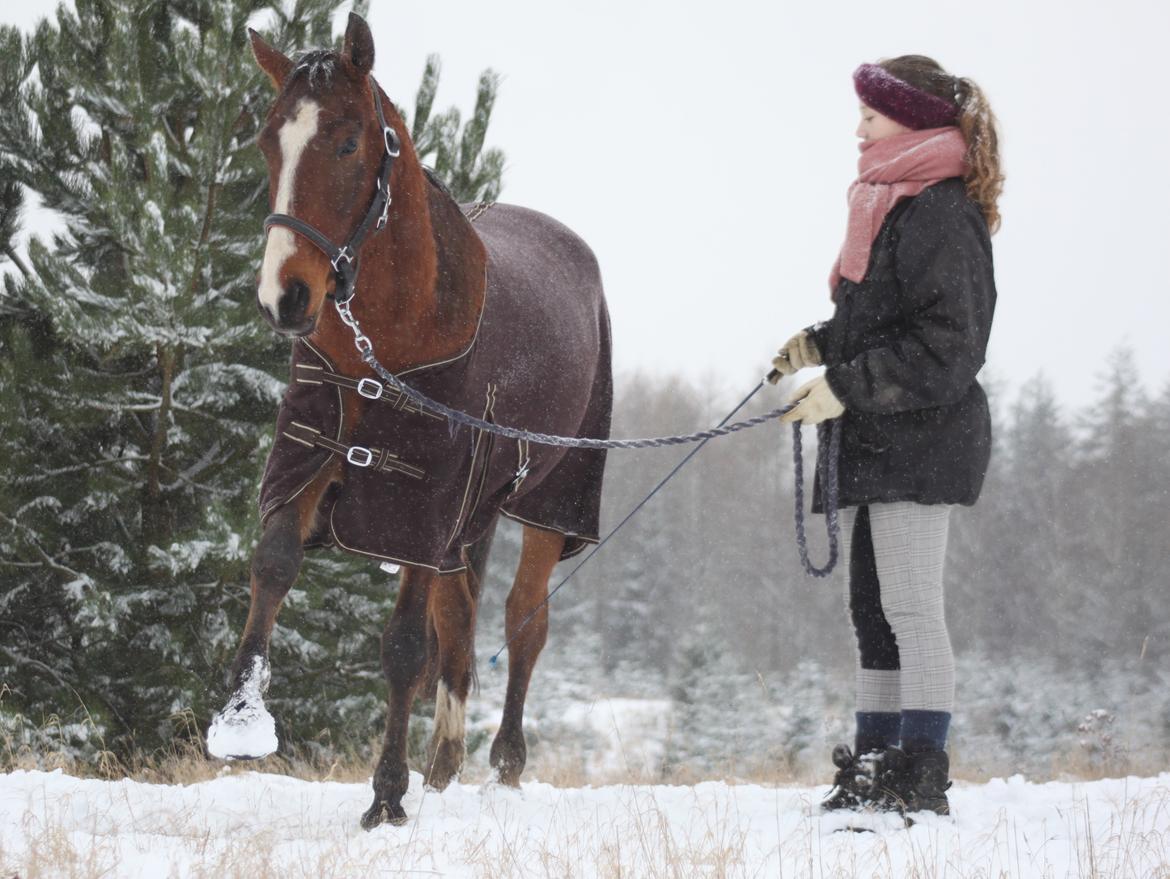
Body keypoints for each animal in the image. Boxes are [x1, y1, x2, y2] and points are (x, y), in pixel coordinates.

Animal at [208, 11, 613, 833]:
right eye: (268, 140)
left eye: (347, 143)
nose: (284, 297)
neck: (390, 343)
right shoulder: (315, 455)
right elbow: (273, 564)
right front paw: (239, 719)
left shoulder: (418, 505)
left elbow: (402, 645)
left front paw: (386, 793)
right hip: (468, 518)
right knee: (460, 621)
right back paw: (445, 761)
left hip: (545, 500)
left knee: (523, 620)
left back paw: (504, 766)